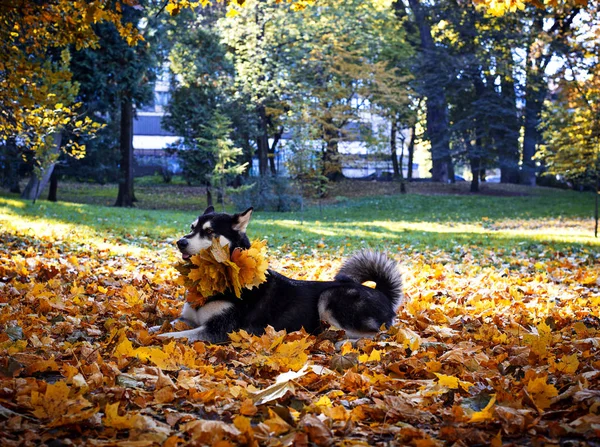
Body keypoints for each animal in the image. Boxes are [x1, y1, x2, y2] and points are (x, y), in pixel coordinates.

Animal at [156, 206, 404, 344]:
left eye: (209, 232)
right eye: (192, 227)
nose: (180, 242)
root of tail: (383, 294)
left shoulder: (221, 330)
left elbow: (173, 336)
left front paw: (153, 340)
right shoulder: (187, 319)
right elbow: (165, 325)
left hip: (330, 297)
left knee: (378, 335)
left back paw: (344, 343)